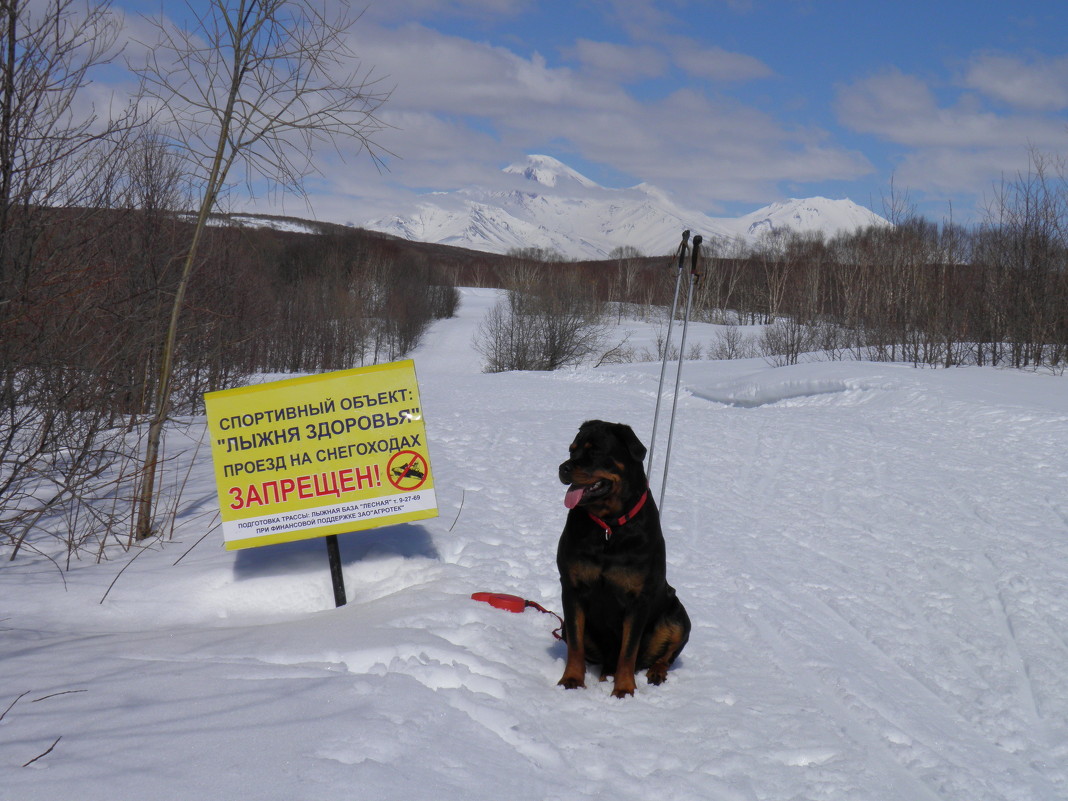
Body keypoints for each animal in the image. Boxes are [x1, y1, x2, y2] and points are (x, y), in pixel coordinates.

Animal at [555, 420, 687, 696]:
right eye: (572, 449)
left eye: (595, 451)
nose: (563, 467)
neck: (610, 527)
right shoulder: (571, 588)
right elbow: (575, 643)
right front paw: (571, 679)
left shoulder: (638, 597)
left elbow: (628, 651)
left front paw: (624, 690)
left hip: (678, 614)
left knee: (665, 655)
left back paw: (656, 672)